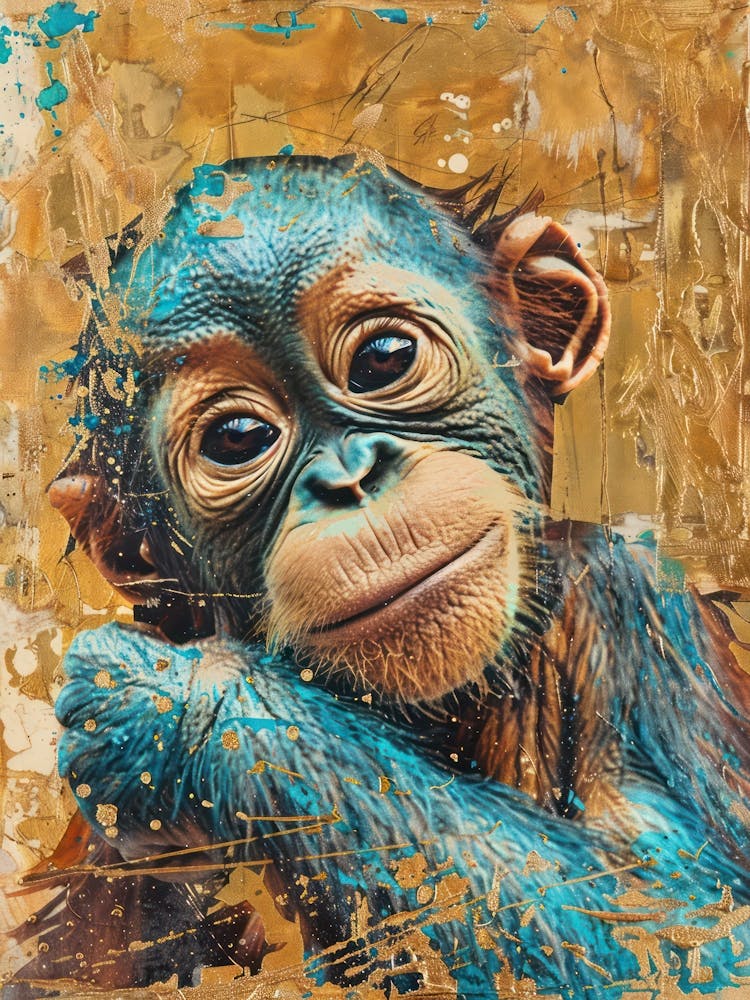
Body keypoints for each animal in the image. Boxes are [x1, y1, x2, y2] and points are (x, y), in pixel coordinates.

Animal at [12, 155, 750, 995]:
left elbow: (683, 922)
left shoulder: (631, 603)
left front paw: (178, 709)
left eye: (384, 360)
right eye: (238, 438)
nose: (350, 476)